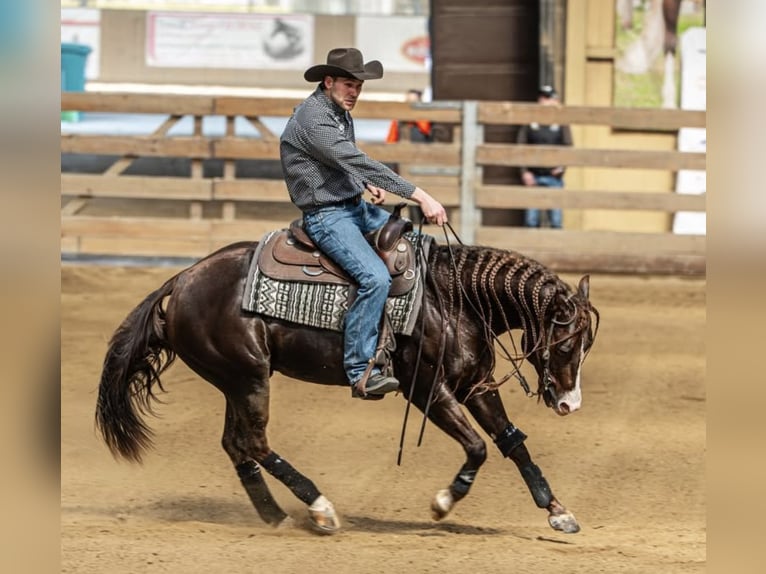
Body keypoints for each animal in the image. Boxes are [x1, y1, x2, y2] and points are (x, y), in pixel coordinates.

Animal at [94, 231, 599, 535]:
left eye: (584, 346)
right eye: (566, 344)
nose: (569, 404)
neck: (452, 300)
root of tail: (181, 280)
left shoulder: (477, 384)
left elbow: (512, 442)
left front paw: (558, 512)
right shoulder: (427, 391)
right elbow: (477, 446)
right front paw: (441, 503)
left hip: (235, 381)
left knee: (236, 444)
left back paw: (275, 516)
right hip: (249, 378)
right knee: (253, 442)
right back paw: (320, 509)